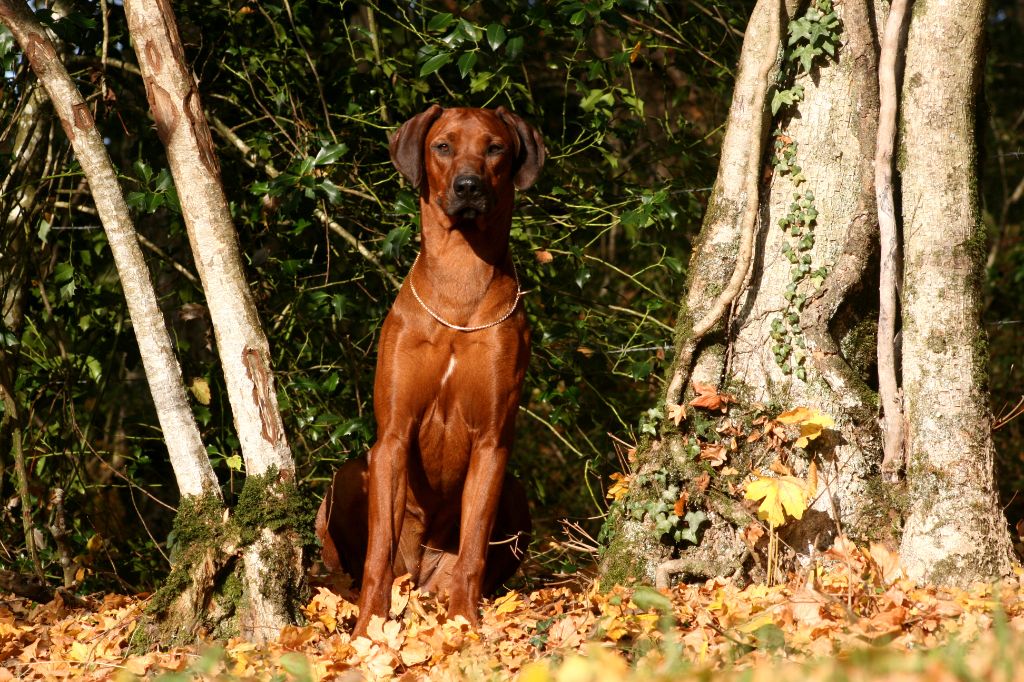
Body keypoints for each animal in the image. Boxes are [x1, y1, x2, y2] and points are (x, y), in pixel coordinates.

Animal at [315, 104, 544, 630]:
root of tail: (418, 578)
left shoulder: (493, 443)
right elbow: (378, 552)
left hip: (515, 494)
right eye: (442, 145)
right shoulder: (393, 436)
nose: (468, 186)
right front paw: (368, 628)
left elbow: (474, 547)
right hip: (349, 476)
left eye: (495, 148)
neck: (459, 284)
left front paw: (466, 626)